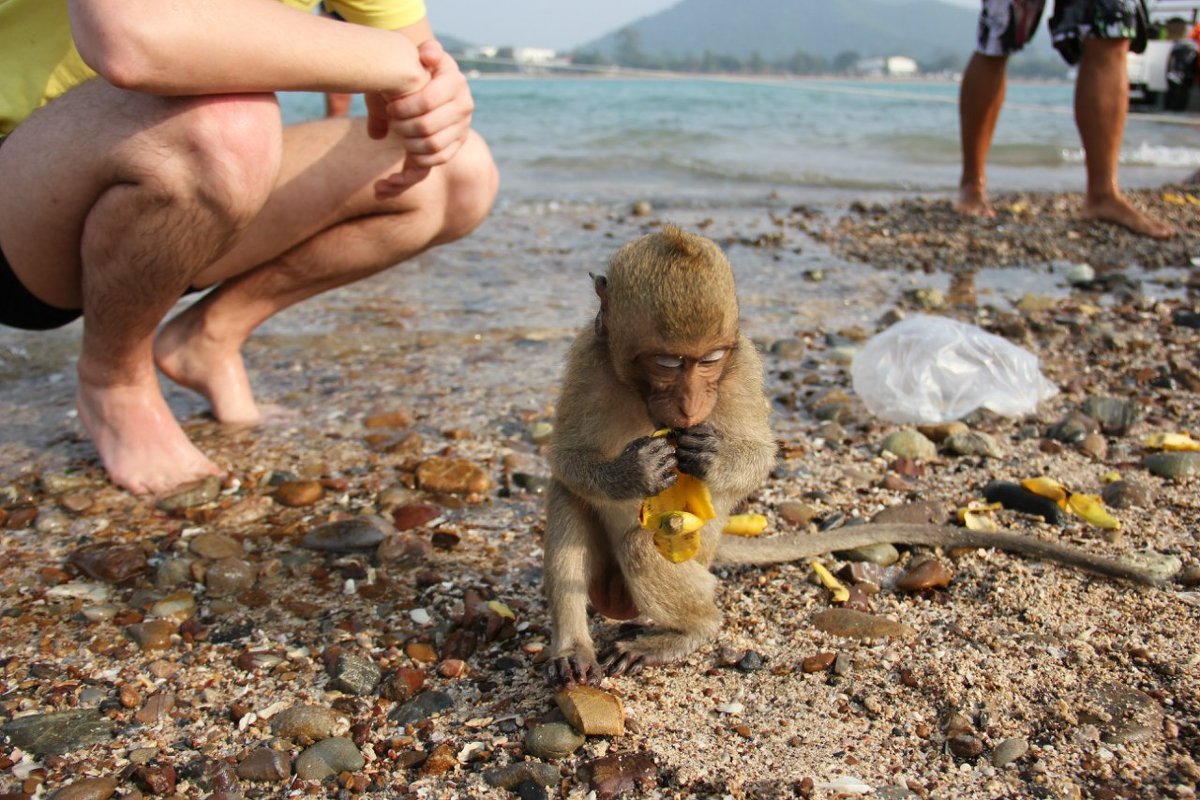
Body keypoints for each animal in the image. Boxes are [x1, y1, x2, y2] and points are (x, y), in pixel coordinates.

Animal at [547, 226, 1161, 690]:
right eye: (670, 362)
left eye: (711, 360)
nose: (692, 406)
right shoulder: (586, 358)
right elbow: (565, 460)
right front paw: (633, 470)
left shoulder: (743, 366)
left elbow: (759, 454)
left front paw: (711, 456)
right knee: (568, 500)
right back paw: (574, 645)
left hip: (698, 550)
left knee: (643, 545)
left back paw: (693, 631)